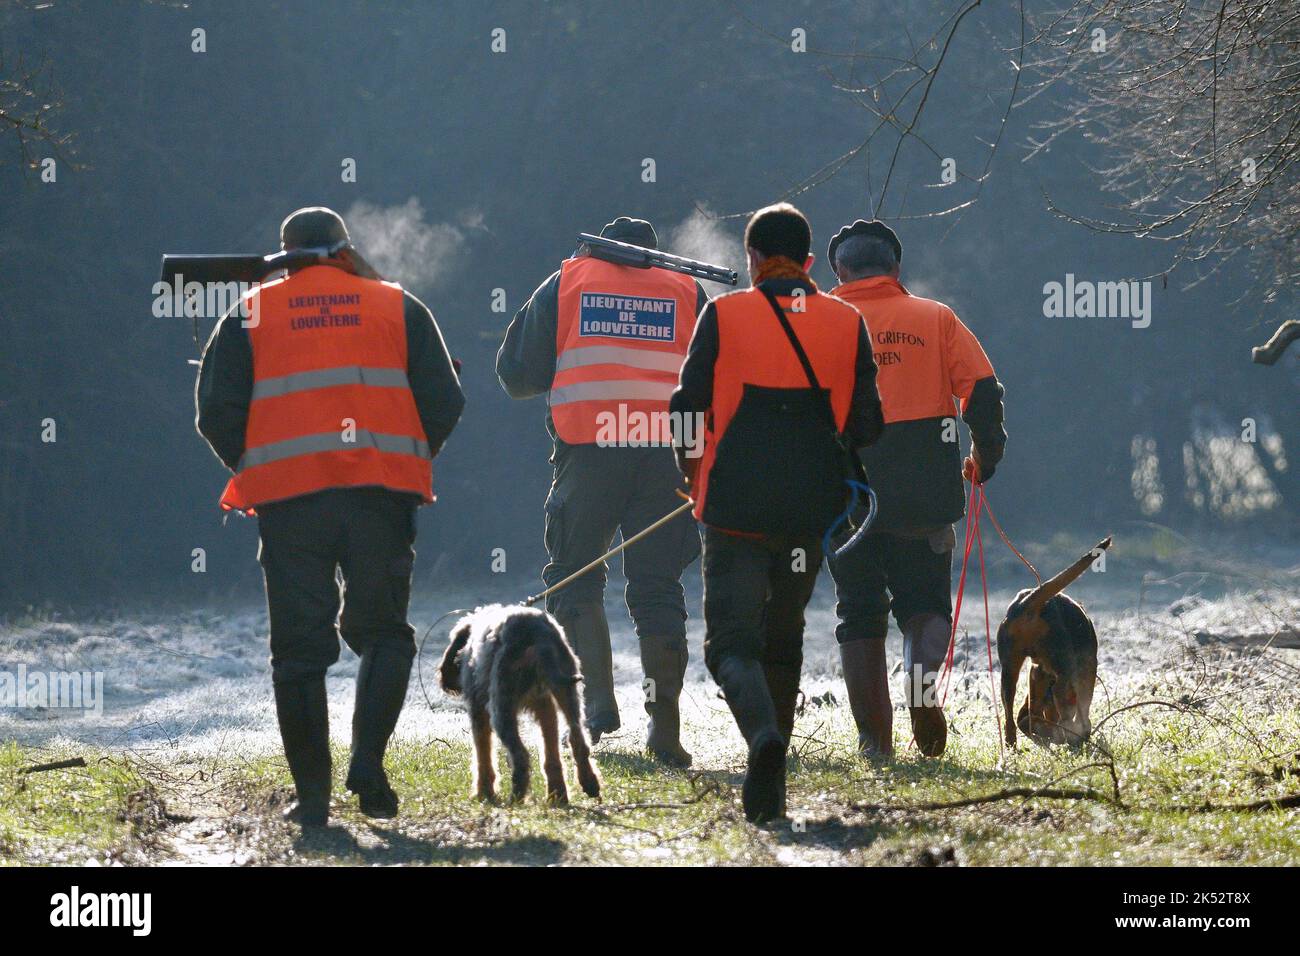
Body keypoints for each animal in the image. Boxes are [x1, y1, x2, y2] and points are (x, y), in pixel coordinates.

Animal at [436, 608, 598, 806]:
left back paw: (516, 797)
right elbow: (551, 754)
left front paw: (484, 794)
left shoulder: (478, 711)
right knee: (578, 741)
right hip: (568, 693)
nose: (446, 683)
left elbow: (483, 757)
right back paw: (578, 788)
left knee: (520, 756)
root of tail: (536, 633)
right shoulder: (545, 706)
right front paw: (558, 794)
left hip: (501, 709)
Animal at [993, 538, 1107, 749]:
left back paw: (1016, 742)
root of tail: (1032, 605)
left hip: (1010, 669)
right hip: (1061, 673)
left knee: (1011, 717)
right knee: (1057, 719)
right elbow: (1080, 717)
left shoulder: (1037, 671)